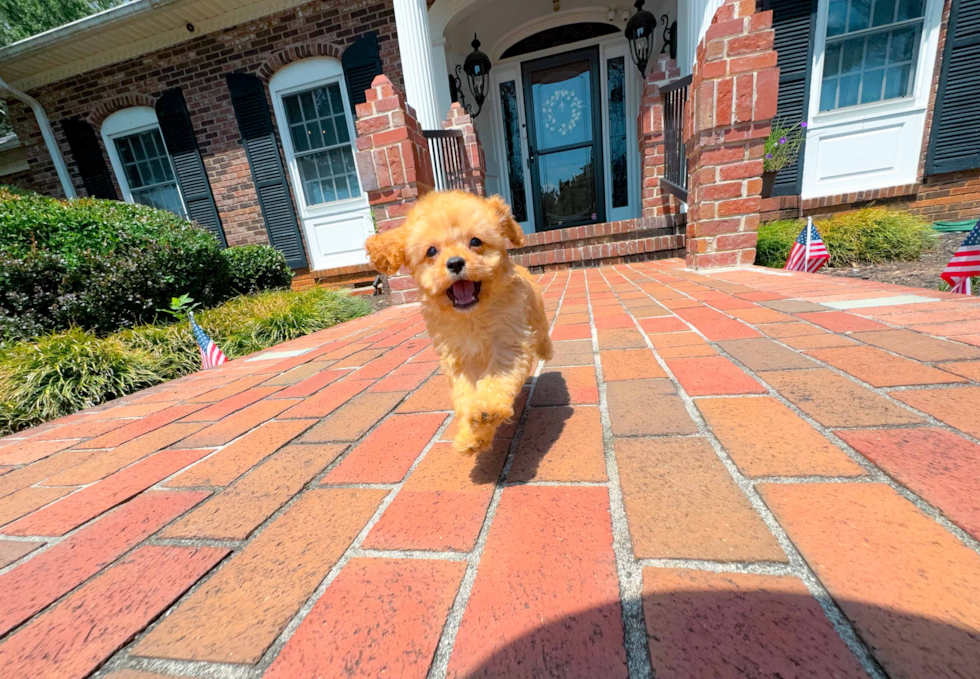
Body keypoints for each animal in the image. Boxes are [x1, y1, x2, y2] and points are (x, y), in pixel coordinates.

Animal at [366, 191, 552, 454]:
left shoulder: (509, 343)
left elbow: (497, 378)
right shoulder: (459, 358)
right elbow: (465, 395)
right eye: (431, 251)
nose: (455, 263)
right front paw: (472, 436)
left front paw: (486, 408)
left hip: (536, 315)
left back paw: (546, 348)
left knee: (542, 333)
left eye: (475, 241)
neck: (471, 316)